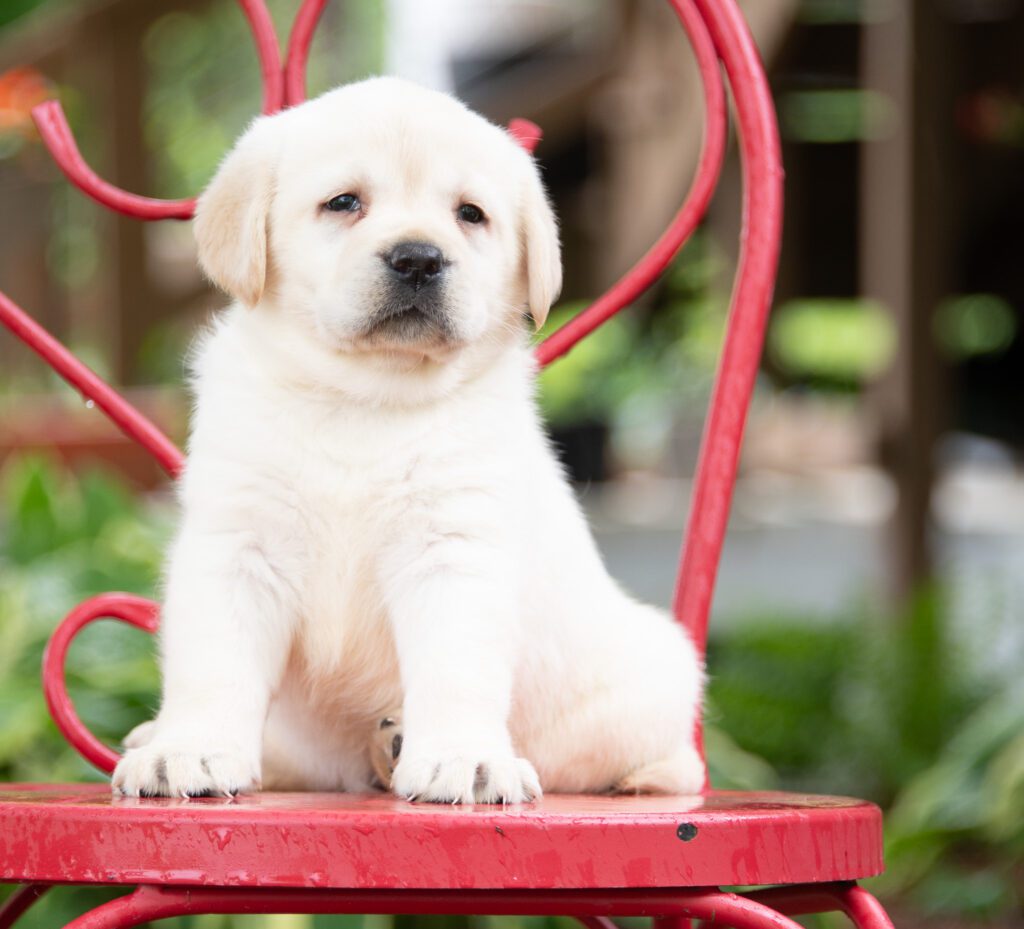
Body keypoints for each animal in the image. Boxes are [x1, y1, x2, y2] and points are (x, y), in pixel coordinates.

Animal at [112, 78, 704, 807]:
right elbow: (213, 664)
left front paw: (464, 759)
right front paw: (189, 749)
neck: (363, 399)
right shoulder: (238, 545)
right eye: (344, 202)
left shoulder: (451, 549)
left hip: (654, 674)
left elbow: (456, 670)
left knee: (666, 760)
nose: (419, 257)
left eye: (470, 214)